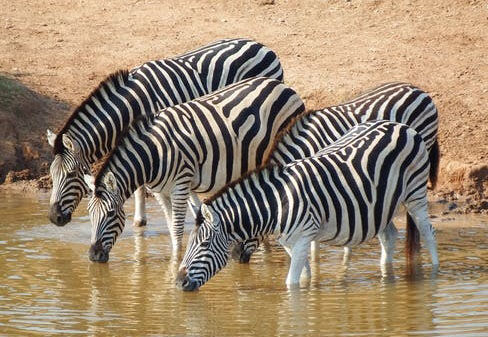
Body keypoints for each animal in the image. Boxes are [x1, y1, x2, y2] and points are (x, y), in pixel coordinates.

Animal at [44, 38, 286, 227]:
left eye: (71, 175)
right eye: (52, 175)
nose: (54, 218)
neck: (131, 106)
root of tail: (261, 45)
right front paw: (142, 220)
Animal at [84, 77, 304, 262]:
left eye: (111, 214)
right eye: (90, 213)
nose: (93, 256)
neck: (153, 154)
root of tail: (282, 85)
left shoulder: (180, 185)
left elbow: (177, 228)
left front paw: (175, 262)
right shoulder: (160, 192)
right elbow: (171, 226)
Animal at [175, 120, 438, 288]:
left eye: (205, 244)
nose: (178, 282)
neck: (276, 204)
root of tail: (401, 126)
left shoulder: (302, 238)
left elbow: (291, 283)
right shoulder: (291, 243)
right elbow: (302, 278)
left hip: (415, 193)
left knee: (428, 232)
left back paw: (434, 273)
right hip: (380, 206)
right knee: (389, 236)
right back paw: (386, 275)